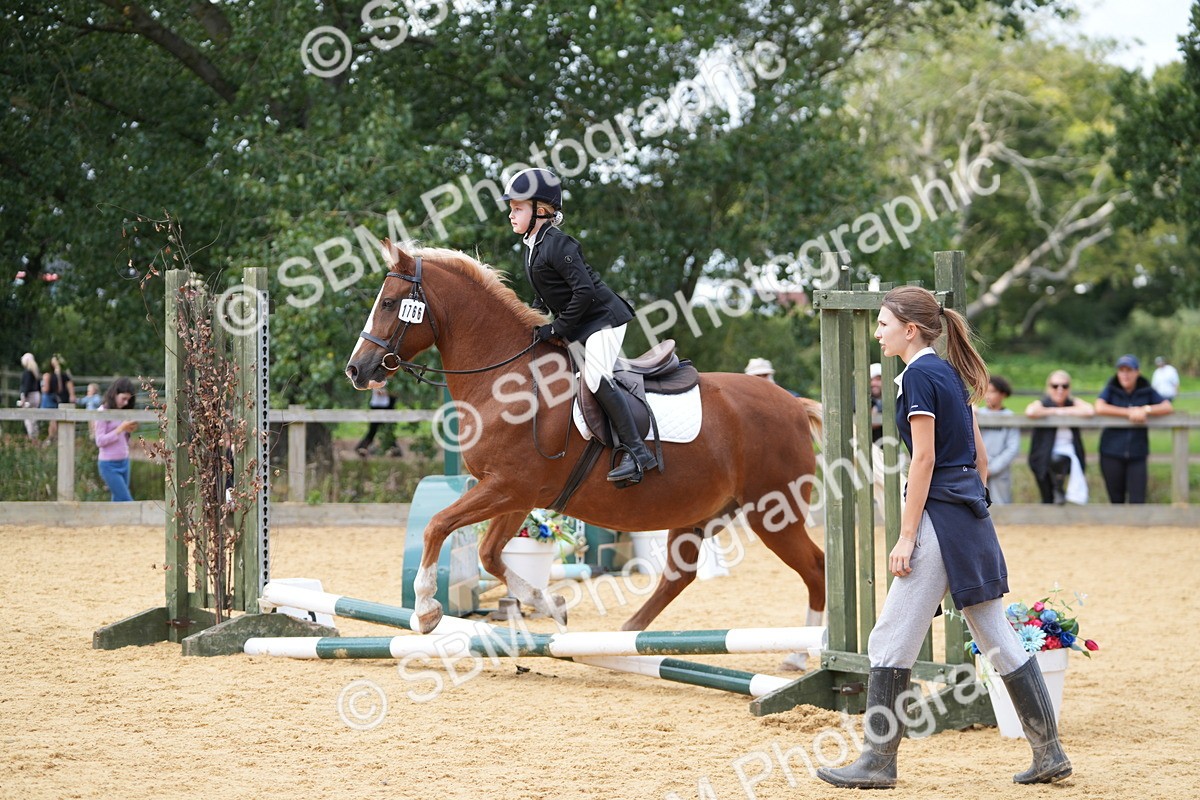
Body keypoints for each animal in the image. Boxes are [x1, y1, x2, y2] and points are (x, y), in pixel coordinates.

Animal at [345, 241, 826, 639]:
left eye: (389, 303)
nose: (356, 370)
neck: (507, 380)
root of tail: (794, 405)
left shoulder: (507, 487)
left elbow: (437, 525)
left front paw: (426, 608)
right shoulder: (514, 494)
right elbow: (489, 554)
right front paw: (551, 604)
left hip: (772, 511)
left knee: (816, 569)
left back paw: (803, 652)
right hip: (701, 509)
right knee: (678, 575)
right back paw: (626, 637)